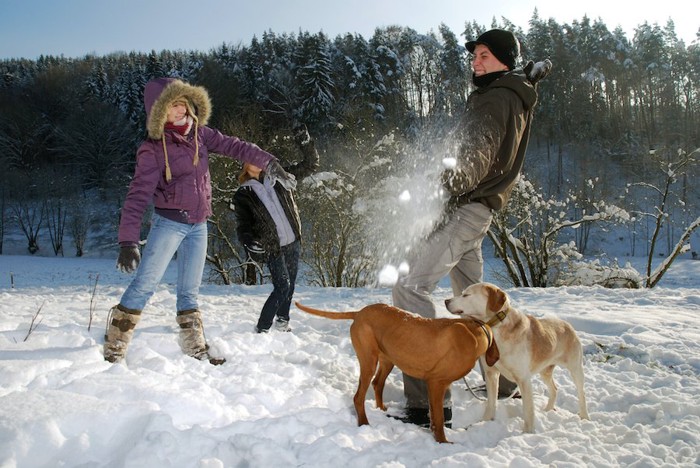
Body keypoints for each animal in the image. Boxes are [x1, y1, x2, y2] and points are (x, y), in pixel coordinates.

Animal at [294, 300, 498, 442]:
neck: (475, 331)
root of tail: (360, 312)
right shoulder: (436, 382)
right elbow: (439, 419)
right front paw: (443, 443)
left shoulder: (437, 386)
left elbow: (434, 416)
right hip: (369, 360)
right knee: (358, 396)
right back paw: (364, 423)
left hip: (387, 360)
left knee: (377, 384)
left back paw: (382, 409)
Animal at [446, 282, 588, 432]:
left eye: (466, 295)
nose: (446, 301)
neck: (497, 328)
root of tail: (567, 324)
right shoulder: (491, 374)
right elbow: (491, 402)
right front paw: (484, 421)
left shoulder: (523, 379)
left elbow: (528, 411)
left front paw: (528, 433)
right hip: (545, 371)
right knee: (554, 389)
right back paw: (548, 410)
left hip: (575, 369)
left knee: (582, 394)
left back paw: (585, 417)